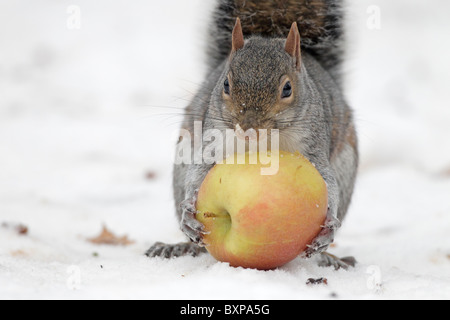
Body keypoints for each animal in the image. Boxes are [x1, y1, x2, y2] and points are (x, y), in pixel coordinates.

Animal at [148, 0, 358, 270]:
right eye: (226, 84)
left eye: (287, 88)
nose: (248, 126)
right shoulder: (213, 140)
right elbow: (199, 172)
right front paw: (187, 214)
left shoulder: (313, 146)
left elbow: (327, 181)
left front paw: (329, 224)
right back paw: (181, 246)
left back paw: (329, 258)